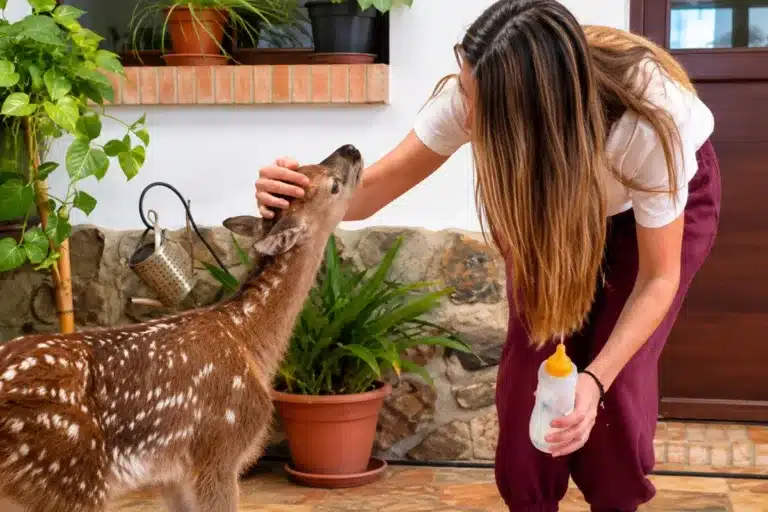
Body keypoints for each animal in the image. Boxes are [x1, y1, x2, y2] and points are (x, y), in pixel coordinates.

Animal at [0, 144, 363, 512]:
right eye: (333, 185)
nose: (350, 149)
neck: (249, 340)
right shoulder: (219, 449)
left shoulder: (172, 474)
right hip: (68, 475)